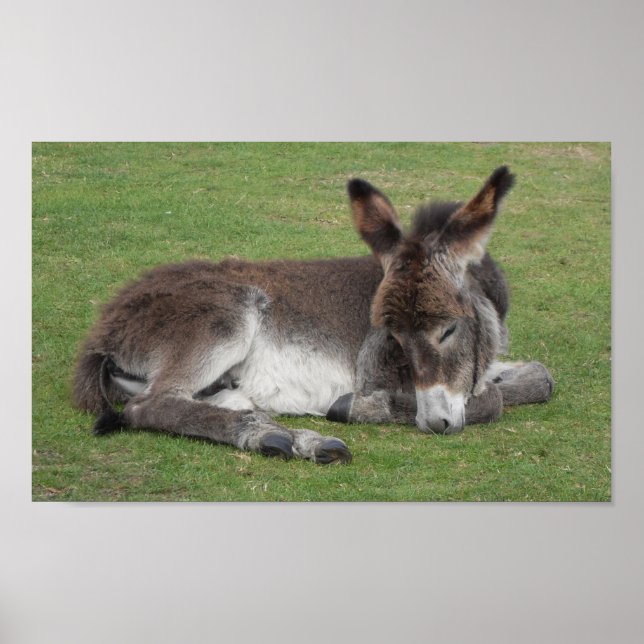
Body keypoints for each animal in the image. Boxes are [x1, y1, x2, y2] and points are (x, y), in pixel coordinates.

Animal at [73, 165, 554, 464]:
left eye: (449, 329)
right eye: (393, 337)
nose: (433, 423)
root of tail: (104, 331)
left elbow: (541, 377)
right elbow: (492, 400)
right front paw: (357, 406)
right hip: (223, 320)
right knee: (151, 404)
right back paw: (281, 438)